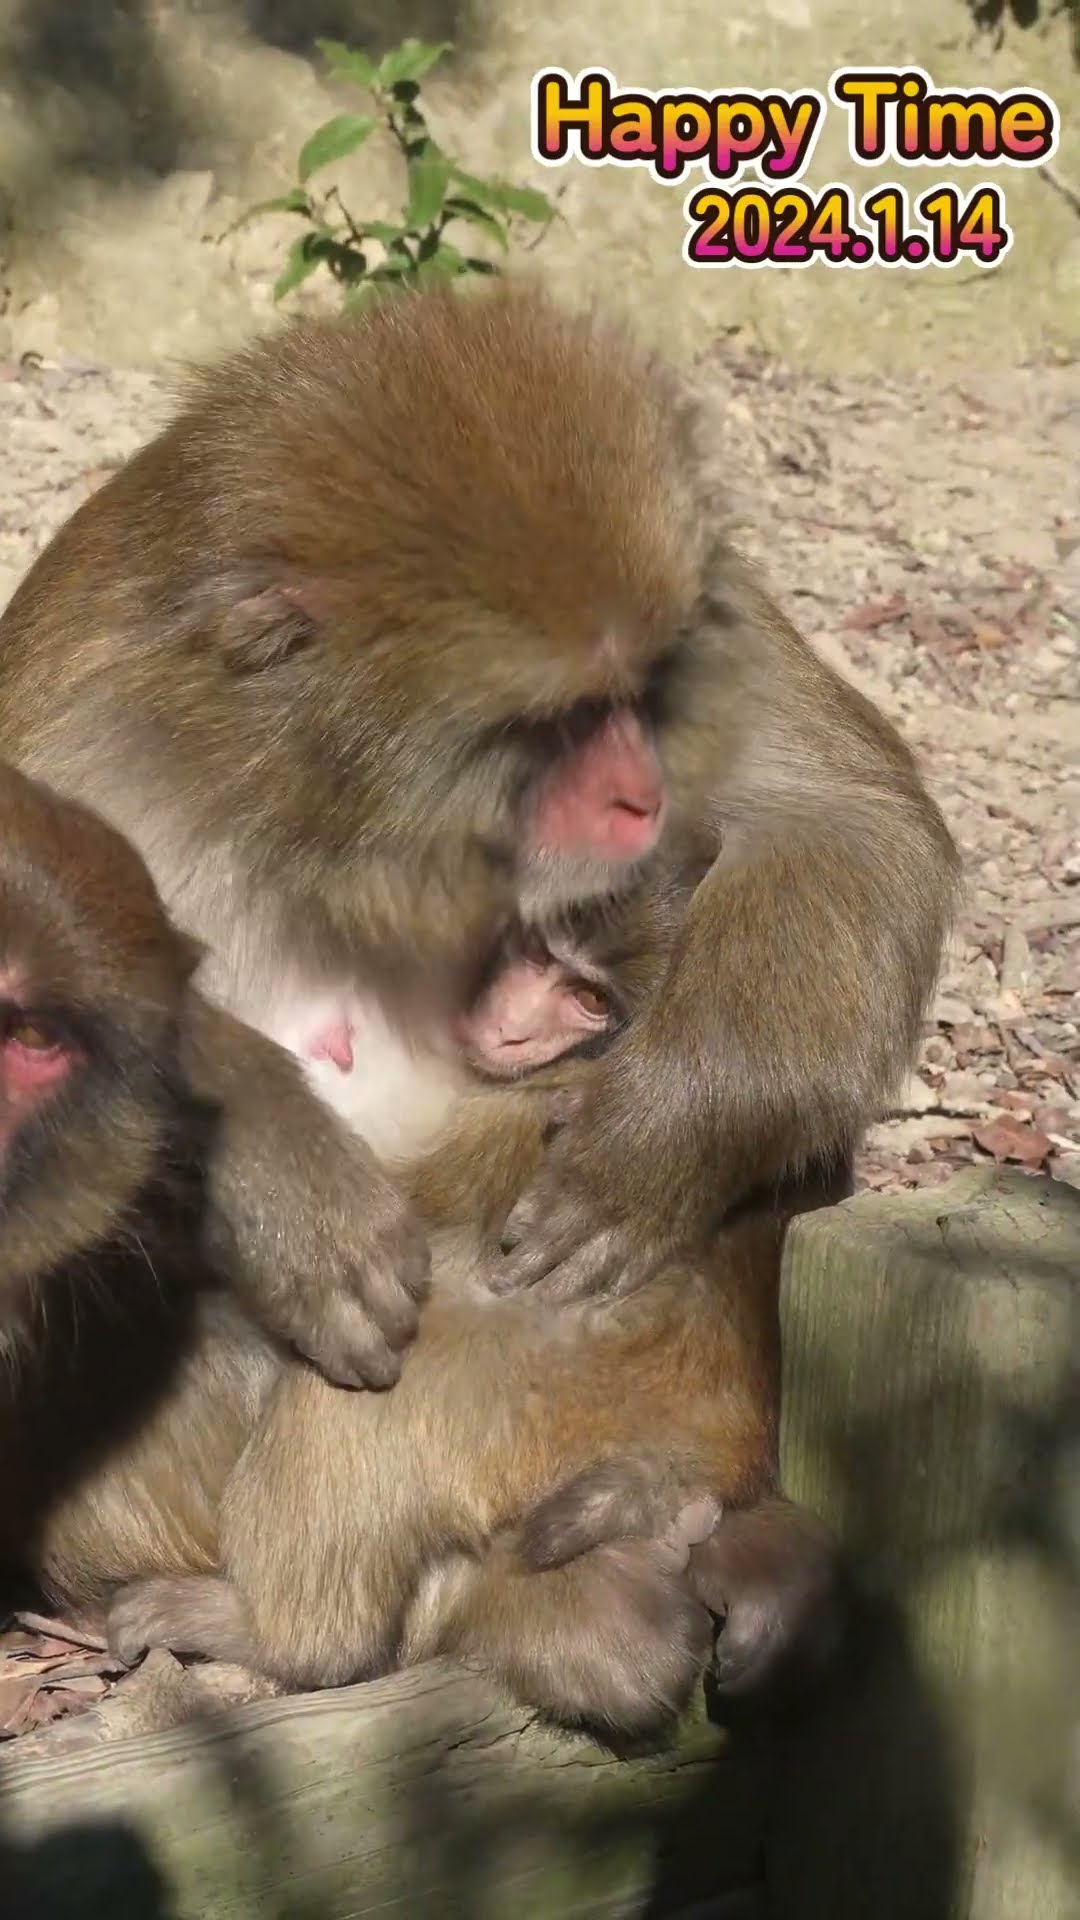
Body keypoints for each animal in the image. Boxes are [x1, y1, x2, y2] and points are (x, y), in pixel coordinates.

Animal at [0, 280, 961, 1325]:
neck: (318, 822)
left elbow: (845, 816)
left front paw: (644, 1149)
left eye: (639, 692)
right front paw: (282, 1182)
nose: (643, 796)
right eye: (564, 720)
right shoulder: (80, 734)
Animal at [0, 773, 836, 1740]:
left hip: (571, 1386)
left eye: (590, 999)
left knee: (398, 1360)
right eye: (538, 950)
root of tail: (731, 1437)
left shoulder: (550, 1099)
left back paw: (283, 1636)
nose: (510, 1028)